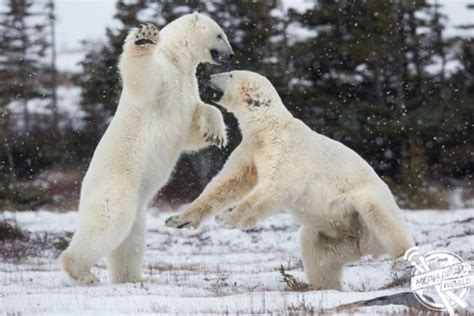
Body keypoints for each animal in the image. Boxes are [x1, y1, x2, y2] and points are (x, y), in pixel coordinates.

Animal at [60, 12, 234, 284]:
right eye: (220, 34)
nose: (231, 54)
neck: (177, 59)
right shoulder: (164, 77)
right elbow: (144, 79)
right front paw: (145, 37)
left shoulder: (187, 85)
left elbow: (194, 125)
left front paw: (215, 133)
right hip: (115, 188)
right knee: (107, 224)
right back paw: (82, 272)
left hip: (137, 207)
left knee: (131, 238)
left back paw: (134, 277)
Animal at [166, 70, 414, 290]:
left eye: (230, 74)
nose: (208, 76)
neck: (267, 127)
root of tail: (367, 246)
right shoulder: (250, 149)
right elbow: (228, 183)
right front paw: (178, 219)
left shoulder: (285, 149)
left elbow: (272, 185)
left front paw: (227, 217)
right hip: (335, 235)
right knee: (316, 252)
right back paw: (321, 287)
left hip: (365, 203)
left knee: (382, 217)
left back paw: (402, 260)